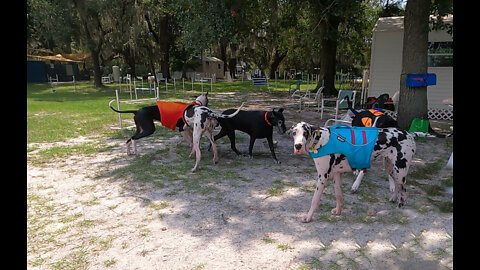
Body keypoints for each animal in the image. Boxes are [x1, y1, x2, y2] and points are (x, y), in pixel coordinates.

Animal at [286, 122, 418, 224]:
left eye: (305, 133)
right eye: (294, 133)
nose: (298, 146)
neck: (321, 141)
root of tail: (410, 135)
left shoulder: (322, 177)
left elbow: (314, 200)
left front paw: (308, 217)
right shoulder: (336, 174)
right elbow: (339, 196)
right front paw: (338, 211)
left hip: (400, 171)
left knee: (404, 193)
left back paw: (398, 209)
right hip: (391, 169)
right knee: (397, 186)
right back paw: (394, 198)